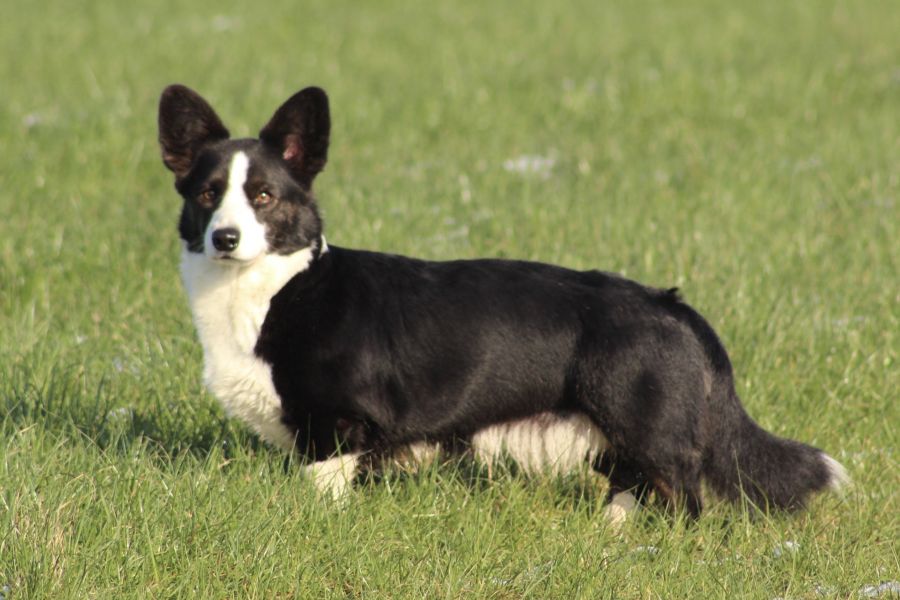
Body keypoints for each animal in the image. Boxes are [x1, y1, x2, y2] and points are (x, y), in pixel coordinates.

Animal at [157, 84, 847, 523]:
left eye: (265, 196)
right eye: (208, 193)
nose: (224, 238)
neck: (274, 288)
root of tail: (673, 306)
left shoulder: (338, 428)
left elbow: (322, 487)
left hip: (646, 425)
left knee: (683, 497)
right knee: (629, 485)